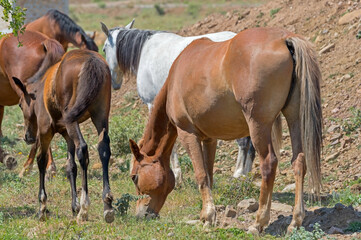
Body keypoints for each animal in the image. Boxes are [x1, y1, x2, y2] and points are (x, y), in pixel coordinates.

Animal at [12, 49, 114, 224]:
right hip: (100, 117)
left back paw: (85, 208)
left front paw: (43, 206)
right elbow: (70, 166)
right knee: (103, 149)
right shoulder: (67, 135)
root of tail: (92, 61)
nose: (27, 137)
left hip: (72, 121)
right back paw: (107, 204)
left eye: (20, 104)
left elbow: (41, 160)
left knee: (83, 149)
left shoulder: (45, 130)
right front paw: (74, 206)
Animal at [100, 21, 258, 186]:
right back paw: (246, 174)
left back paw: (238, 173)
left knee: (244, 141)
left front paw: (175, 175)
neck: (146, 51)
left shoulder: (153, 104)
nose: (114, 83)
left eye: (104, 49)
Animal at [129, 27, 320, 233]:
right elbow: (209, 174)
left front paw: (207, 217)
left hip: (258, 125)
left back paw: (259, 222)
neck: (175, 78)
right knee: (298, 161)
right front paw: (209, 215)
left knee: (269, 163)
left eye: (134, 177)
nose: (140, 215)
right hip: (294, 118)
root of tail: (284, 39)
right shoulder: (209, 139)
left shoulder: (188, 134)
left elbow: (201, 175)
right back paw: (295, 221)